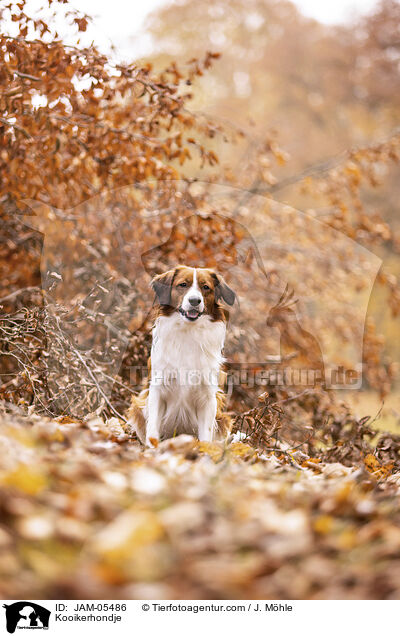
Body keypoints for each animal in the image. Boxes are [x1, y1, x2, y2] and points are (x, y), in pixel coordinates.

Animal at [127, 266, 234, 444]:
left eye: (206, 287)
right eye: (183, 284)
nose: (194, 301)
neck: (188, 331)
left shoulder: (208, 397)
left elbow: (206, 436)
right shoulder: (157, 389)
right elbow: (152, 430)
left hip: (222, 419)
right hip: (138, 406)